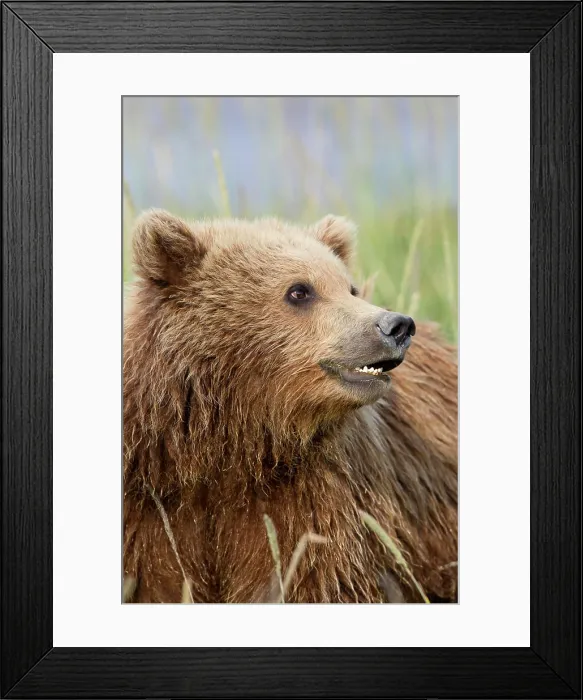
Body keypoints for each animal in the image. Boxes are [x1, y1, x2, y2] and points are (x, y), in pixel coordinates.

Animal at [123, 210, 458, 603]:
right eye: (299, 290)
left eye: (350, 288)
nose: (397, 325)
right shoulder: (149, 501)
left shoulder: (313, 497)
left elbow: (316, 576)